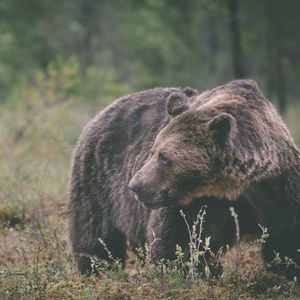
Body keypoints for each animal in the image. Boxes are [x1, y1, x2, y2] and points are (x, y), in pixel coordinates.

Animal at [68, 79, 300, 276]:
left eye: (163, 157)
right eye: (152, 151)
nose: (134, 186)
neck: (234, 187)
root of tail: (104, 110)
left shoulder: (279, 192)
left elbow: (287, 242)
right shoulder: (193, 204)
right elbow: (175, 240)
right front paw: (193, 269)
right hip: (98, 178)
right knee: (95, 232)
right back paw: (96, 268)